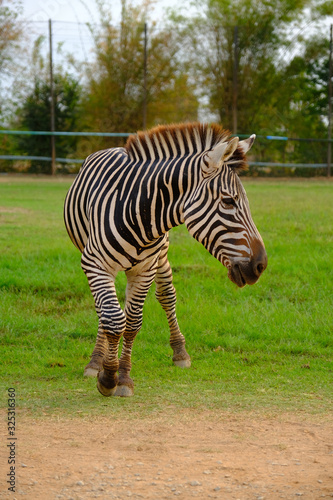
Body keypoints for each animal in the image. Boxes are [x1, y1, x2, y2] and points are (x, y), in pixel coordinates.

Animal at [64, 122, 268, 398]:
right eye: (228, 201)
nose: (261, 265)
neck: (138, 210)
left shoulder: (145, 269)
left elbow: (132, 323)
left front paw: (123, 377)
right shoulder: (94, 264)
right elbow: (113, 319)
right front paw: (107, 376)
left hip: (160, 254)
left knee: (166, 296)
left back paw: (179, 351)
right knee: (105, 312)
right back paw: (96, 360)